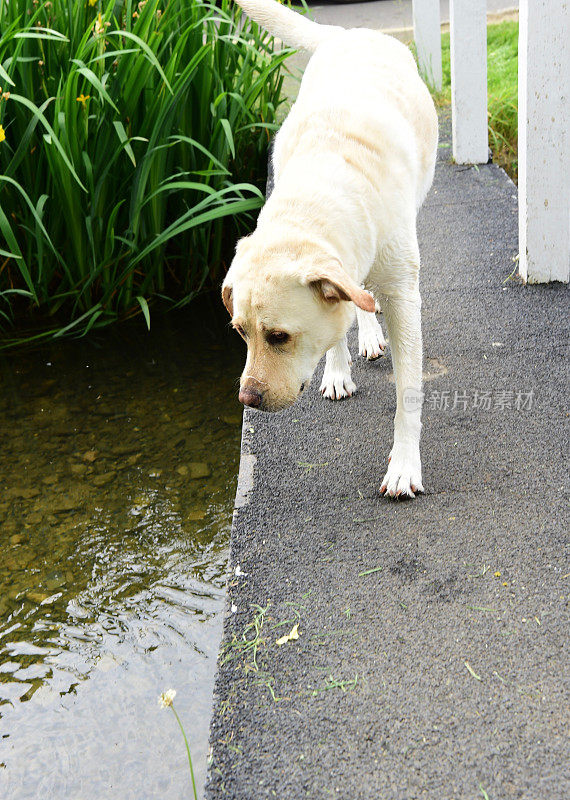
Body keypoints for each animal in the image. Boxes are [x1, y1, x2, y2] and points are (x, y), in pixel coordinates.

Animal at [221, 0, 434, 496]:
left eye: (279, 337)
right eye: (240, 332)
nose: (247, 399)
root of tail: (348, 33)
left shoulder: (404, 292)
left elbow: (408, 391)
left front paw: (404, 465)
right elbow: (338, 319)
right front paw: (337, 369)